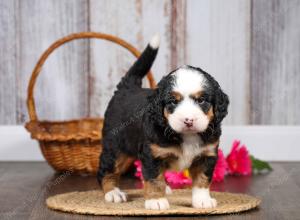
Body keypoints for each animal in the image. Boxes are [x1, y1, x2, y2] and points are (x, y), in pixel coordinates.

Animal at [97, 34, 229, 210]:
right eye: (173, 101)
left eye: (201, 100)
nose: (188, 120)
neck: (187, 135)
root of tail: (126, 89)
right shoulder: (152, 154)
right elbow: (153, 178)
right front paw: (156, 200)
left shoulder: (207, 154)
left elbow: (202, 179)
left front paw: (202, 200)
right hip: (115, 147)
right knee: (106, 170)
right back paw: (113, 193)